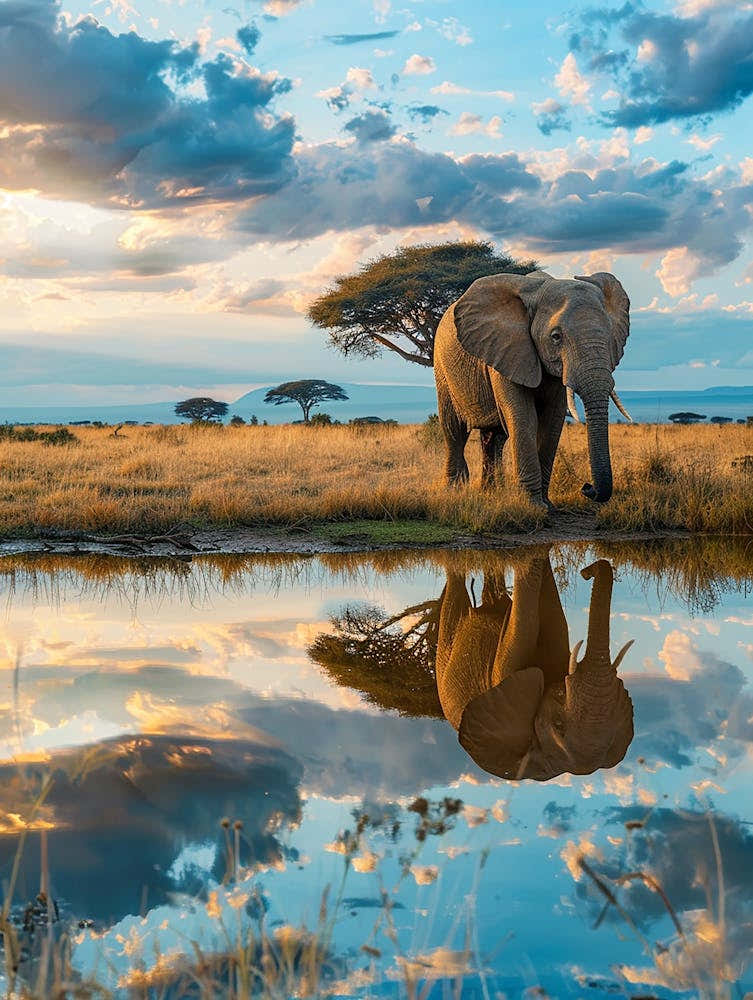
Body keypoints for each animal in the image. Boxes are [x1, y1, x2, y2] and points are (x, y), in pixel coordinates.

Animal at [433, 271, 632, 505]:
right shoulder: (508, 349)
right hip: (443, 368)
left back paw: (491, 491)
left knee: (493, 437)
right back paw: (454, 490)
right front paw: (534, 505)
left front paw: (547, 504)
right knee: (454, 429)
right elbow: (523, 417)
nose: (586, 487)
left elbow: (552, 420)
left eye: (610, 335)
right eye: (556, 337)